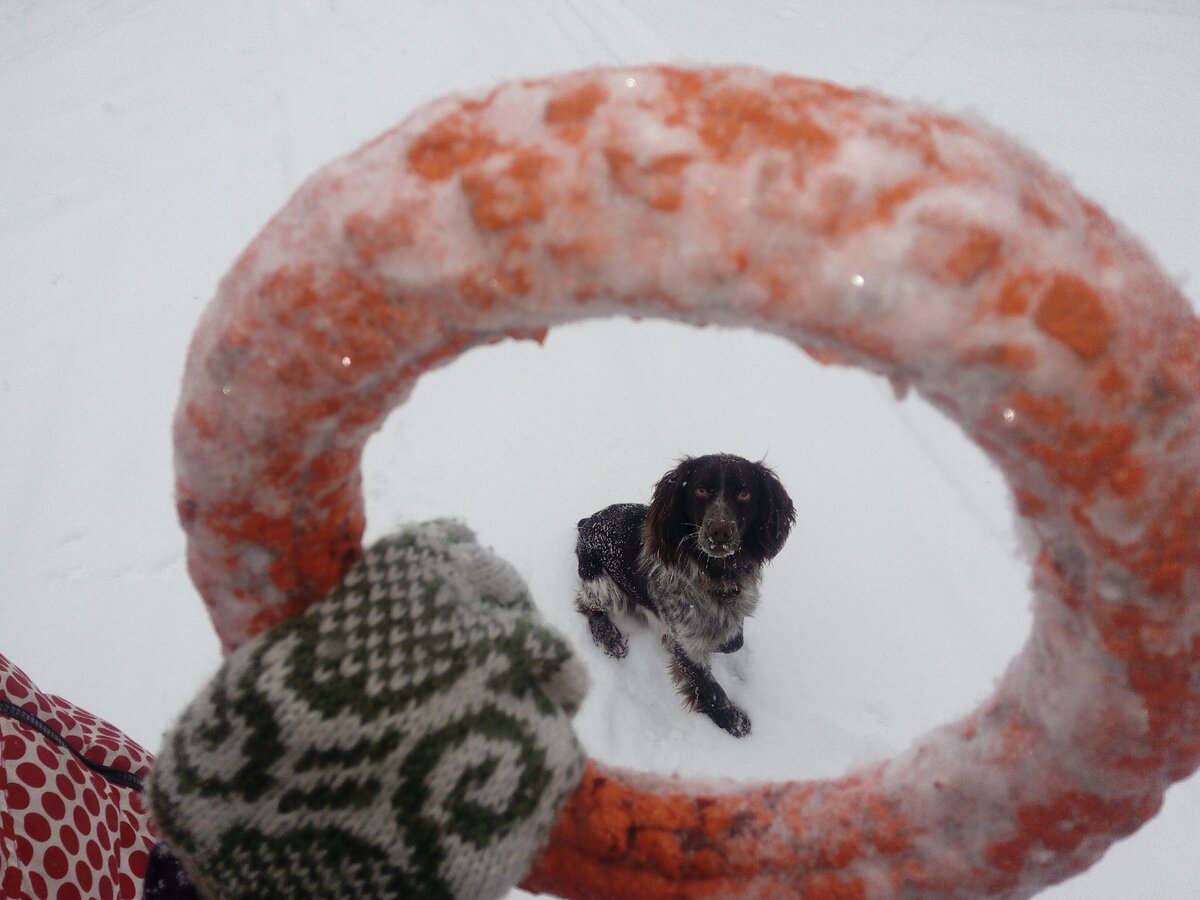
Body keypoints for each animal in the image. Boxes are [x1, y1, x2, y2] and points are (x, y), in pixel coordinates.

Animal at [573, 453, 792, 734]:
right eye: (700, 490)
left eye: (745, 494)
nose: (719, 532)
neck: (714, 576)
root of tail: (587, 522)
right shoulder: (684, 641)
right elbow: (708, 687)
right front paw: (732, 720)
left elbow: (734, 640)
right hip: (605, 587)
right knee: (589, 605)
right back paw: (609, 637)